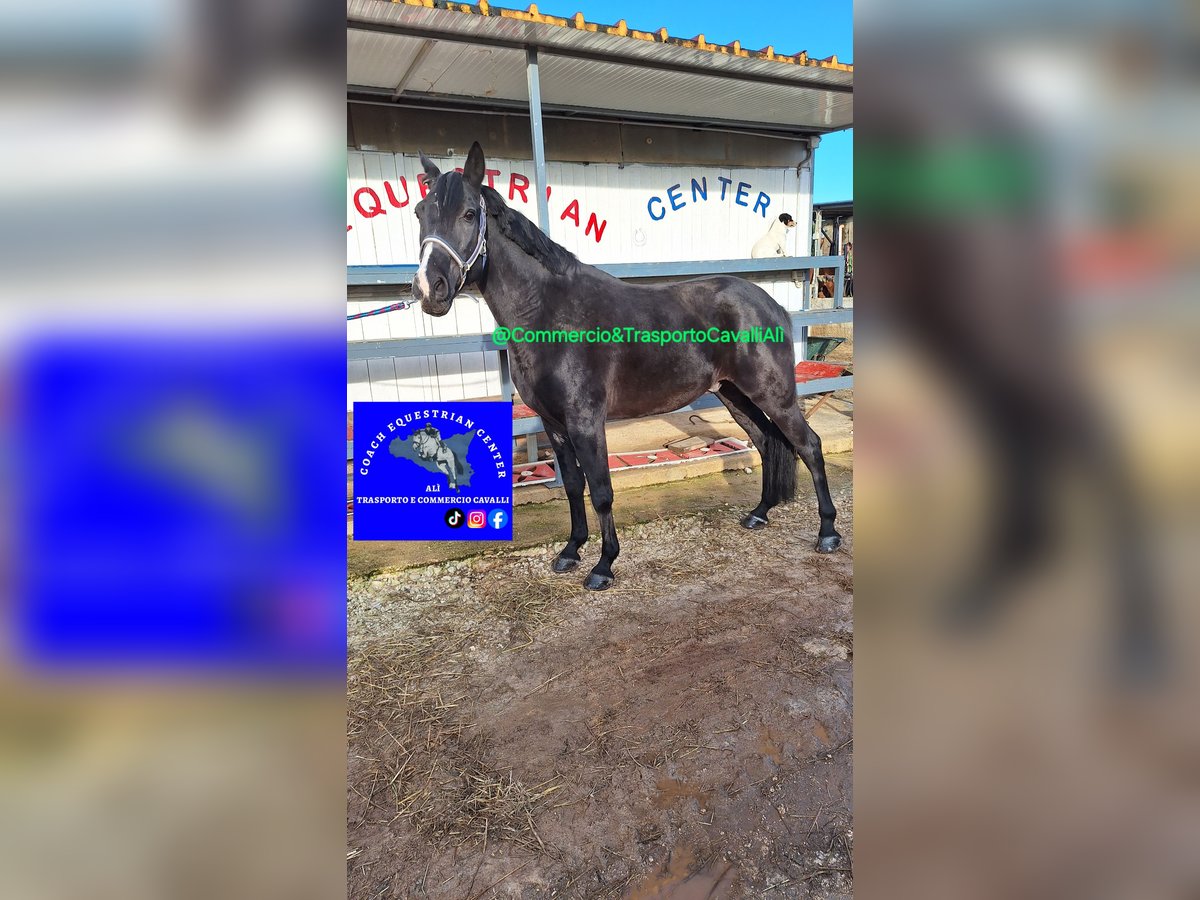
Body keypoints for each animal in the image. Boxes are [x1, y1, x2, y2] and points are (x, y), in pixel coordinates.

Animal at [412, 141, 844, 592]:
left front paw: (603, 566)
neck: (549, 311)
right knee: (764, 441)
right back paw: (759, 514)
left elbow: (601, 491)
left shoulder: (585, 421)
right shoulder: (554, 423)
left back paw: (828, 533)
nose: (429, 289)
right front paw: (571, 551)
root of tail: (770, 303)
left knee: (809, 446)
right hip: (734, 394)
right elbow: (572, 486)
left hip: (775, 395)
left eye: (469, 214)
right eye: (421, 212)